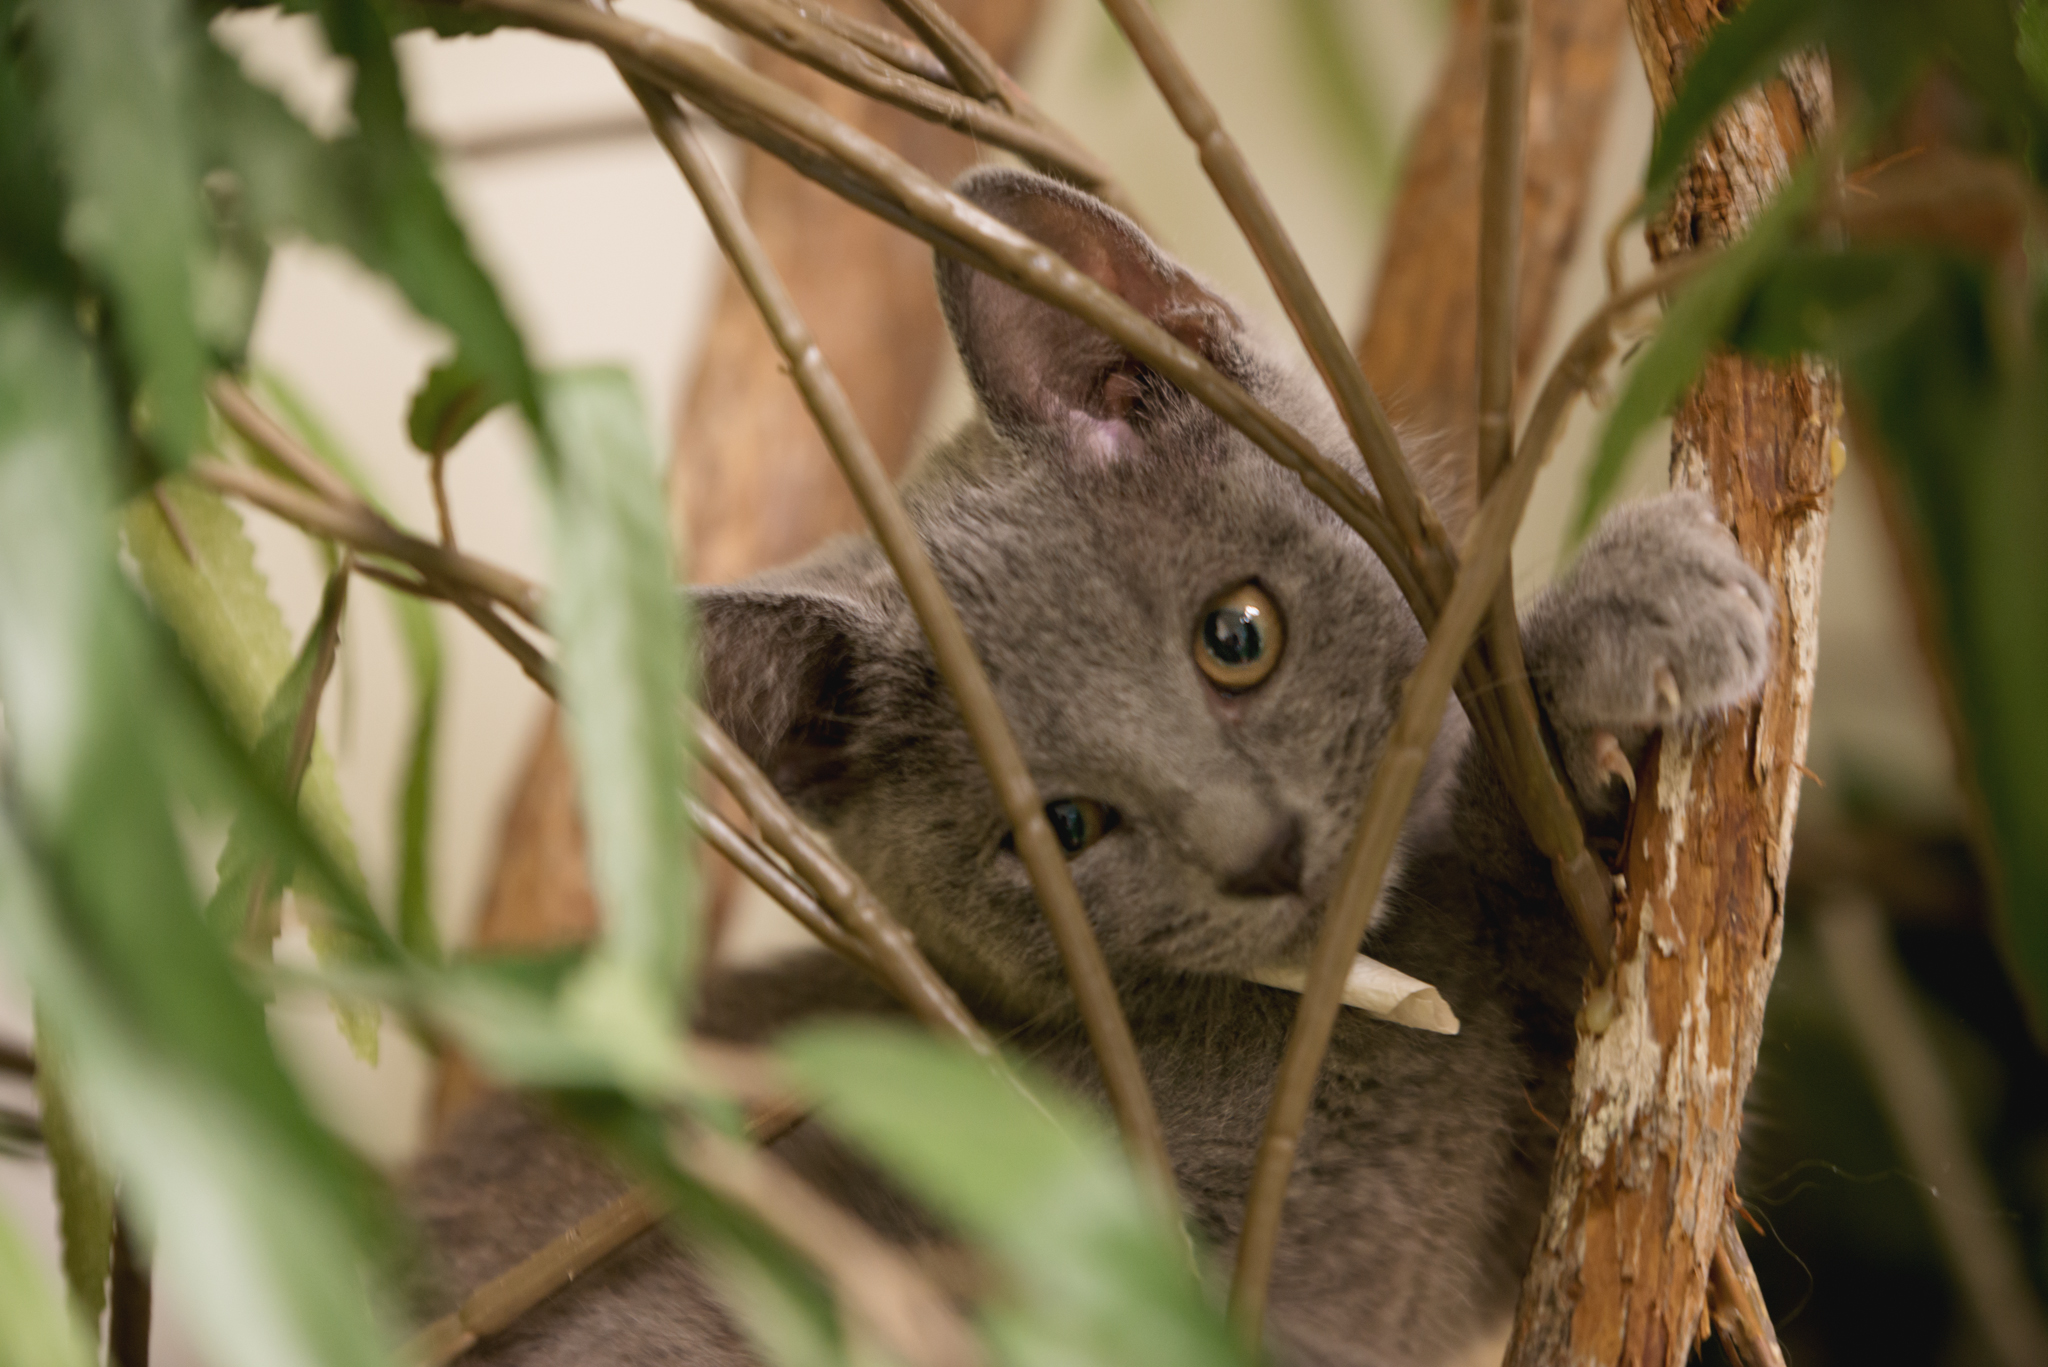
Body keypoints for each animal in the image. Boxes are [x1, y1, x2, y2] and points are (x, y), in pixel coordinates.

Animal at [403, 168, 1777, 1367]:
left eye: (1237, 634)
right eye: (1058, 826)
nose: (1259, 848)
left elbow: (1631, 1100)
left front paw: (1633, 609)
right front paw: (1630, 616)